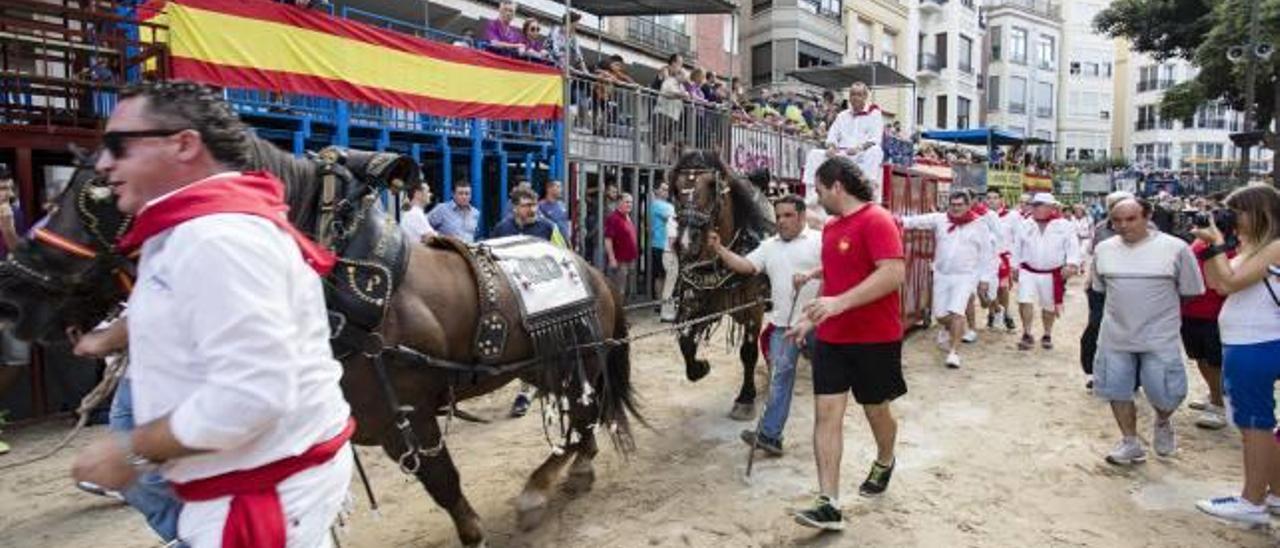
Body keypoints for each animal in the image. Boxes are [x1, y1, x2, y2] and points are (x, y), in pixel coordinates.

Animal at [0, 138, 640, 548]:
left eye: (99, 193)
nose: (16, 291)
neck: (341, 287)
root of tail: (589, 267)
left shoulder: (404, 415)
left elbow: (442, 482)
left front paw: (475, 532)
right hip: (548, 363)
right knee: (583, 418)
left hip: (570, 359)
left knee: (583, 416)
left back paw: (547, 485)